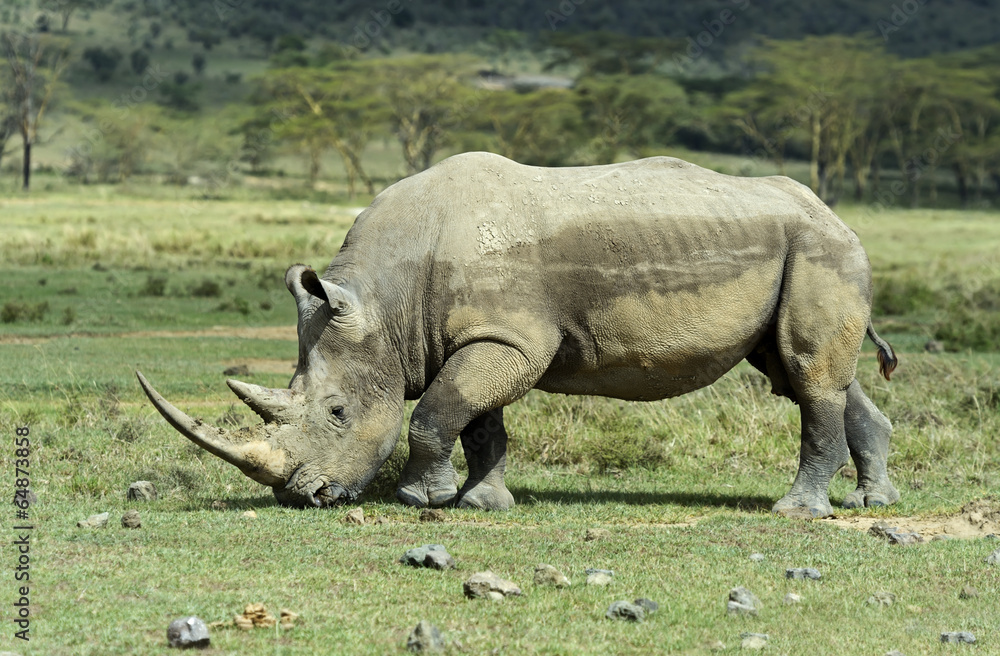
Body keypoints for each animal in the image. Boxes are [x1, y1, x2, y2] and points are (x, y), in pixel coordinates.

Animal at [137, 151, 900, 518]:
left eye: (337, 413)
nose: (302, 497)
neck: (385, 303)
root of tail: (835, 214)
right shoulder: (481, 337)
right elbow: (477, 423)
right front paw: (482, 501)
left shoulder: (507, 340)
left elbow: (435, 414)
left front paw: (423, 500)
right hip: (802, 249)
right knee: (801, 372)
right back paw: (874, 502)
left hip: (820, 248)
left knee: (806, 373)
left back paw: (796, 511)